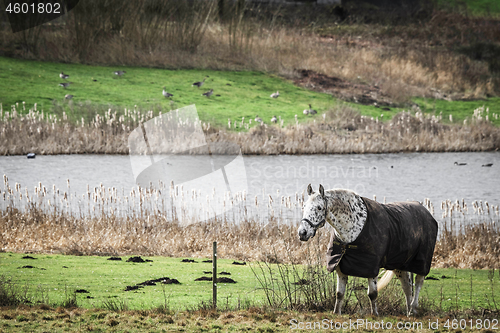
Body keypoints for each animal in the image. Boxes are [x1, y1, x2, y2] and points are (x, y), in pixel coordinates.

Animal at [296, 184, 438, 316]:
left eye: (319, 207)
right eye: (304, 206)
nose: (302, 233)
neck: (352, 228)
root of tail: (425, 211)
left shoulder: (371, 268)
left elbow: (372, 294)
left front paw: (374, 314)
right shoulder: (340, 267)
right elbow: (339, 293)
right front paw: (336, 313)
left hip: (421, 263)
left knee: (418, 282)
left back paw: (414, 308)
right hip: (400, 265)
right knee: (407, 287)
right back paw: (409, 313)